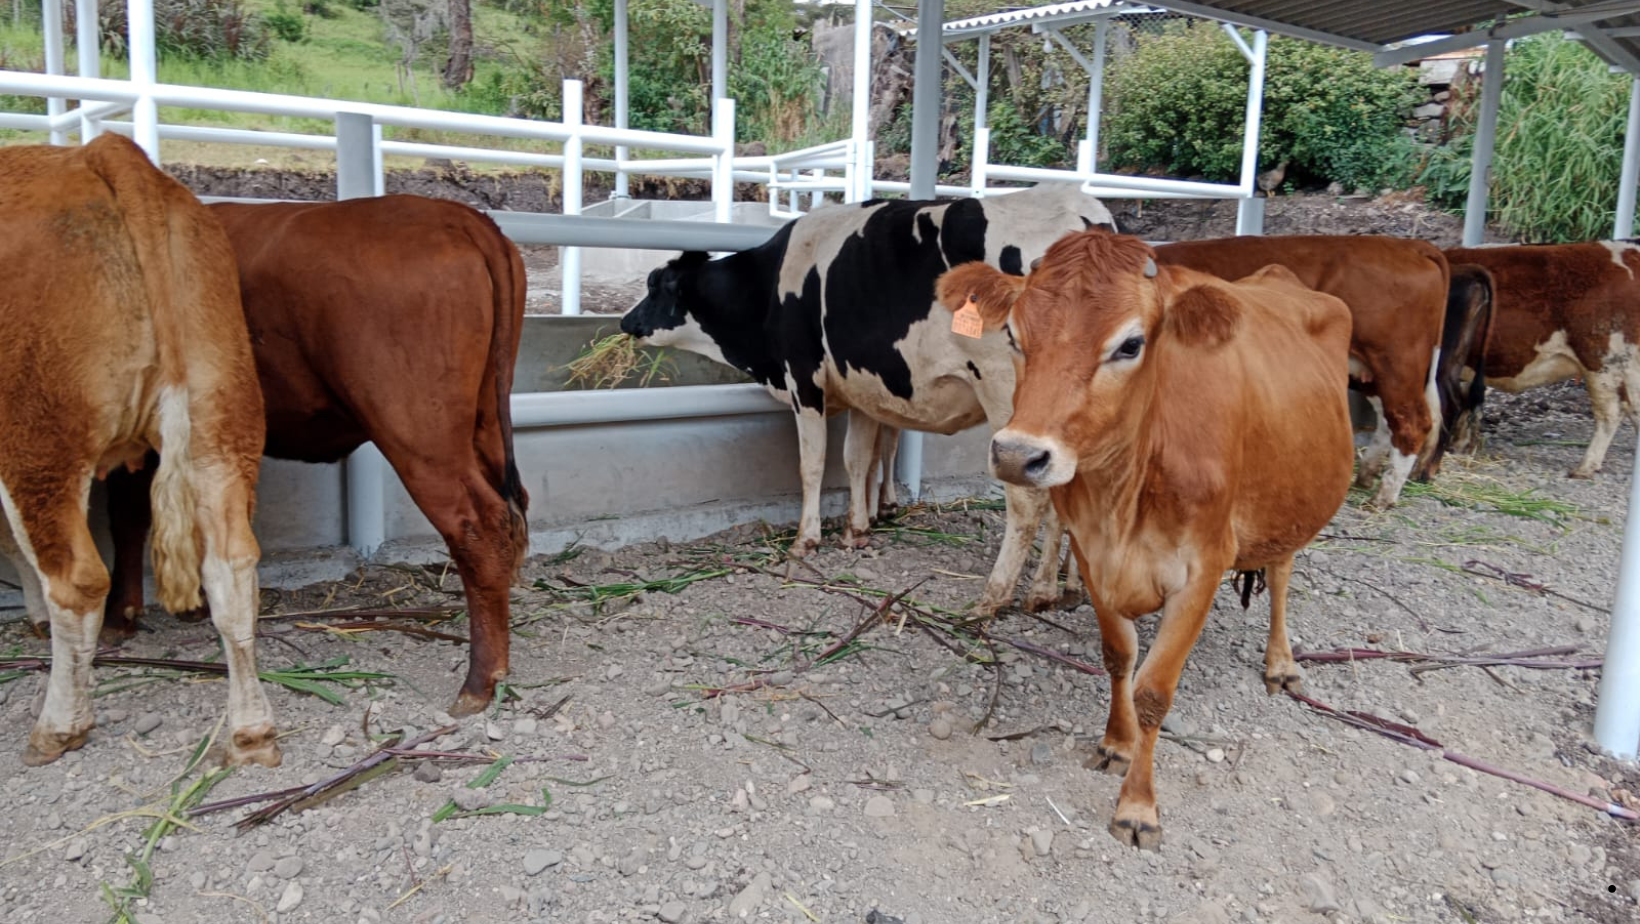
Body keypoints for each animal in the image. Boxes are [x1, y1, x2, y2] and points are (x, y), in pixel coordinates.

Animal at [0, 135, 279, 767]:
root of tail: (102, 153)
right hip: (220, 425)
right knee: (232, 569)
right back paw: (251, 732)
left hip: (37, 441)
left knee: (77, 581)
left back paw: (59, 727)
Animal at [90, 195, 530, 717]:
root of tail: (457, 215)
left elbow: (127, 517)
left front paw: (119, 616)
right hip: (483, 425)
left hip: (421, 436)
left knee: (478, 527)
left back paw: (479, 680)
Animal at [619, 185, 1114, 616]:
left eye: (657, 285)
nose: (626, 322)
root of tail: (1085, 213)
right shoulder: (862, 388)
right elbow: (857, 459)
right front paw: (855, 529)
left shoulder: (804, 381)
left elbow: (813, 464)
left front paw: (806, 540)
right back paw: (1056, 590)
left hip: (1005, 395)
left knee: (1029, 499)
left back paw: (993, 599)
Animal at [940, 230, 1354, 849]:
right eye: (1012, 334)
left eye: (1131, 345)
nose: (1017, 455)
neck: (1126, 496)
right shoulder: (1092, 555)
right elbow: (1118, 658)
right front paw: (1117, 742)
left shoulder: (1203, 569)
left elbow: (1155, 690)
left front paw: (1137, 807)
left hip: (1290, 503)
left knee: (1282, 572)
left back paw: (1280, 663)